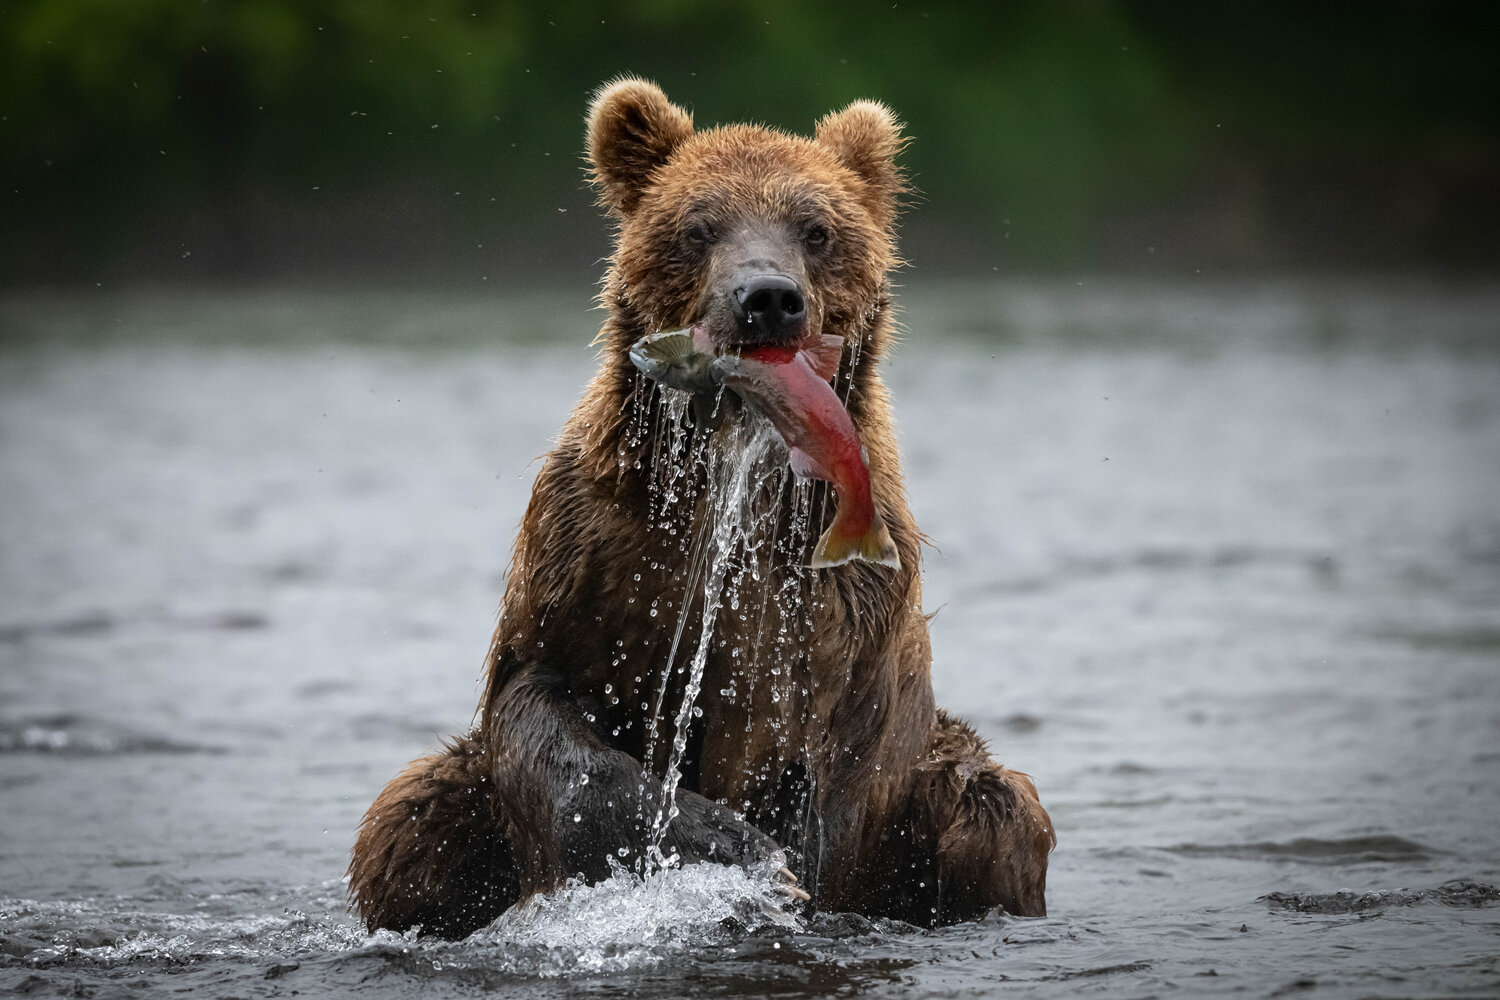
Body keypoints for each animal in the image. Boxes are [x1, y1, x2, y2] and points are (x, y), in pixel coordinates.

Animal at [347, 78, 1054, 939]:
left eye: (817, 228)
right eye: (698, 225)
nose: (769, 299)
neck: (732, 473)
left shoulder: (842, 606)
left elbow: (834, 758)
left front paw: (785, 864)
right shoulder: (595, 547)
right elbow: (536, 704)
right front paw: (729, 844)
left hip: (941, 777)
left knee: (997, 810)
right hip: (456, 796)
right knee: (410, 822)